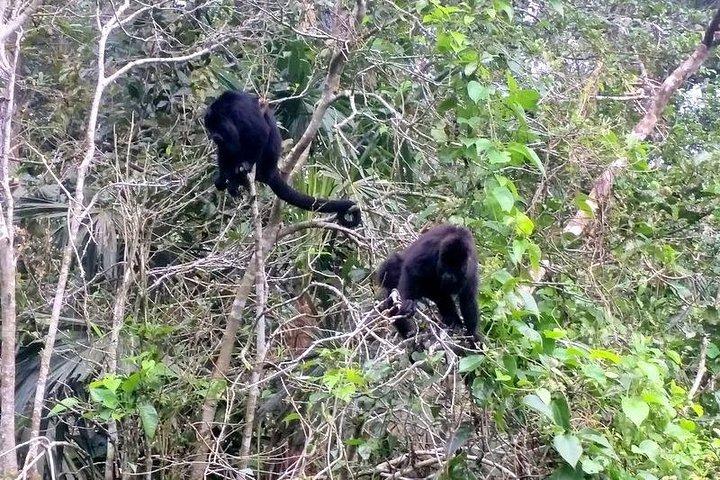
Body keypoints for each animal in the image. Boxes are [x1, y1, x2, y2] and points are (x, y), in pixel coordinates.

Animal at [204, 90, 361, 228]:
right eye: (210, 129)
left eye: (217, 127)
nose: (214, 136)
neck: (226, 109)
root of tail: (271, 170)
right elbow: (226, 148)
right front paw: (223, 176)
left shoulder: (240, 112)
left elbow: (260, 132)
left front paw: (245, 166)